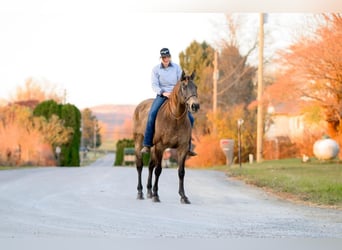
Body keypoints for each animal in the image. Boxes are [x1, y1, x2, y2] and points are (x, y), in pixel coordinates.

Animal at [132, 71, 200, 204]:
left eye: (196, 87)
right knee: (140, 166)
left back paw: (149, 192)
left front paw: (183, 196)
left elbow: (181, 172)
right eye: (184, 87)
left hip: (153, 149)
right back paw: (140, 192)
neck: (175, 118)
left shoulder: (182, 149)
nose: (195, 105)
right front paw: (156, 195)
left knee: (150, 166)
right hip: (139, 143)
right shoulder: (161, 147)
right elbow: (158, 170)